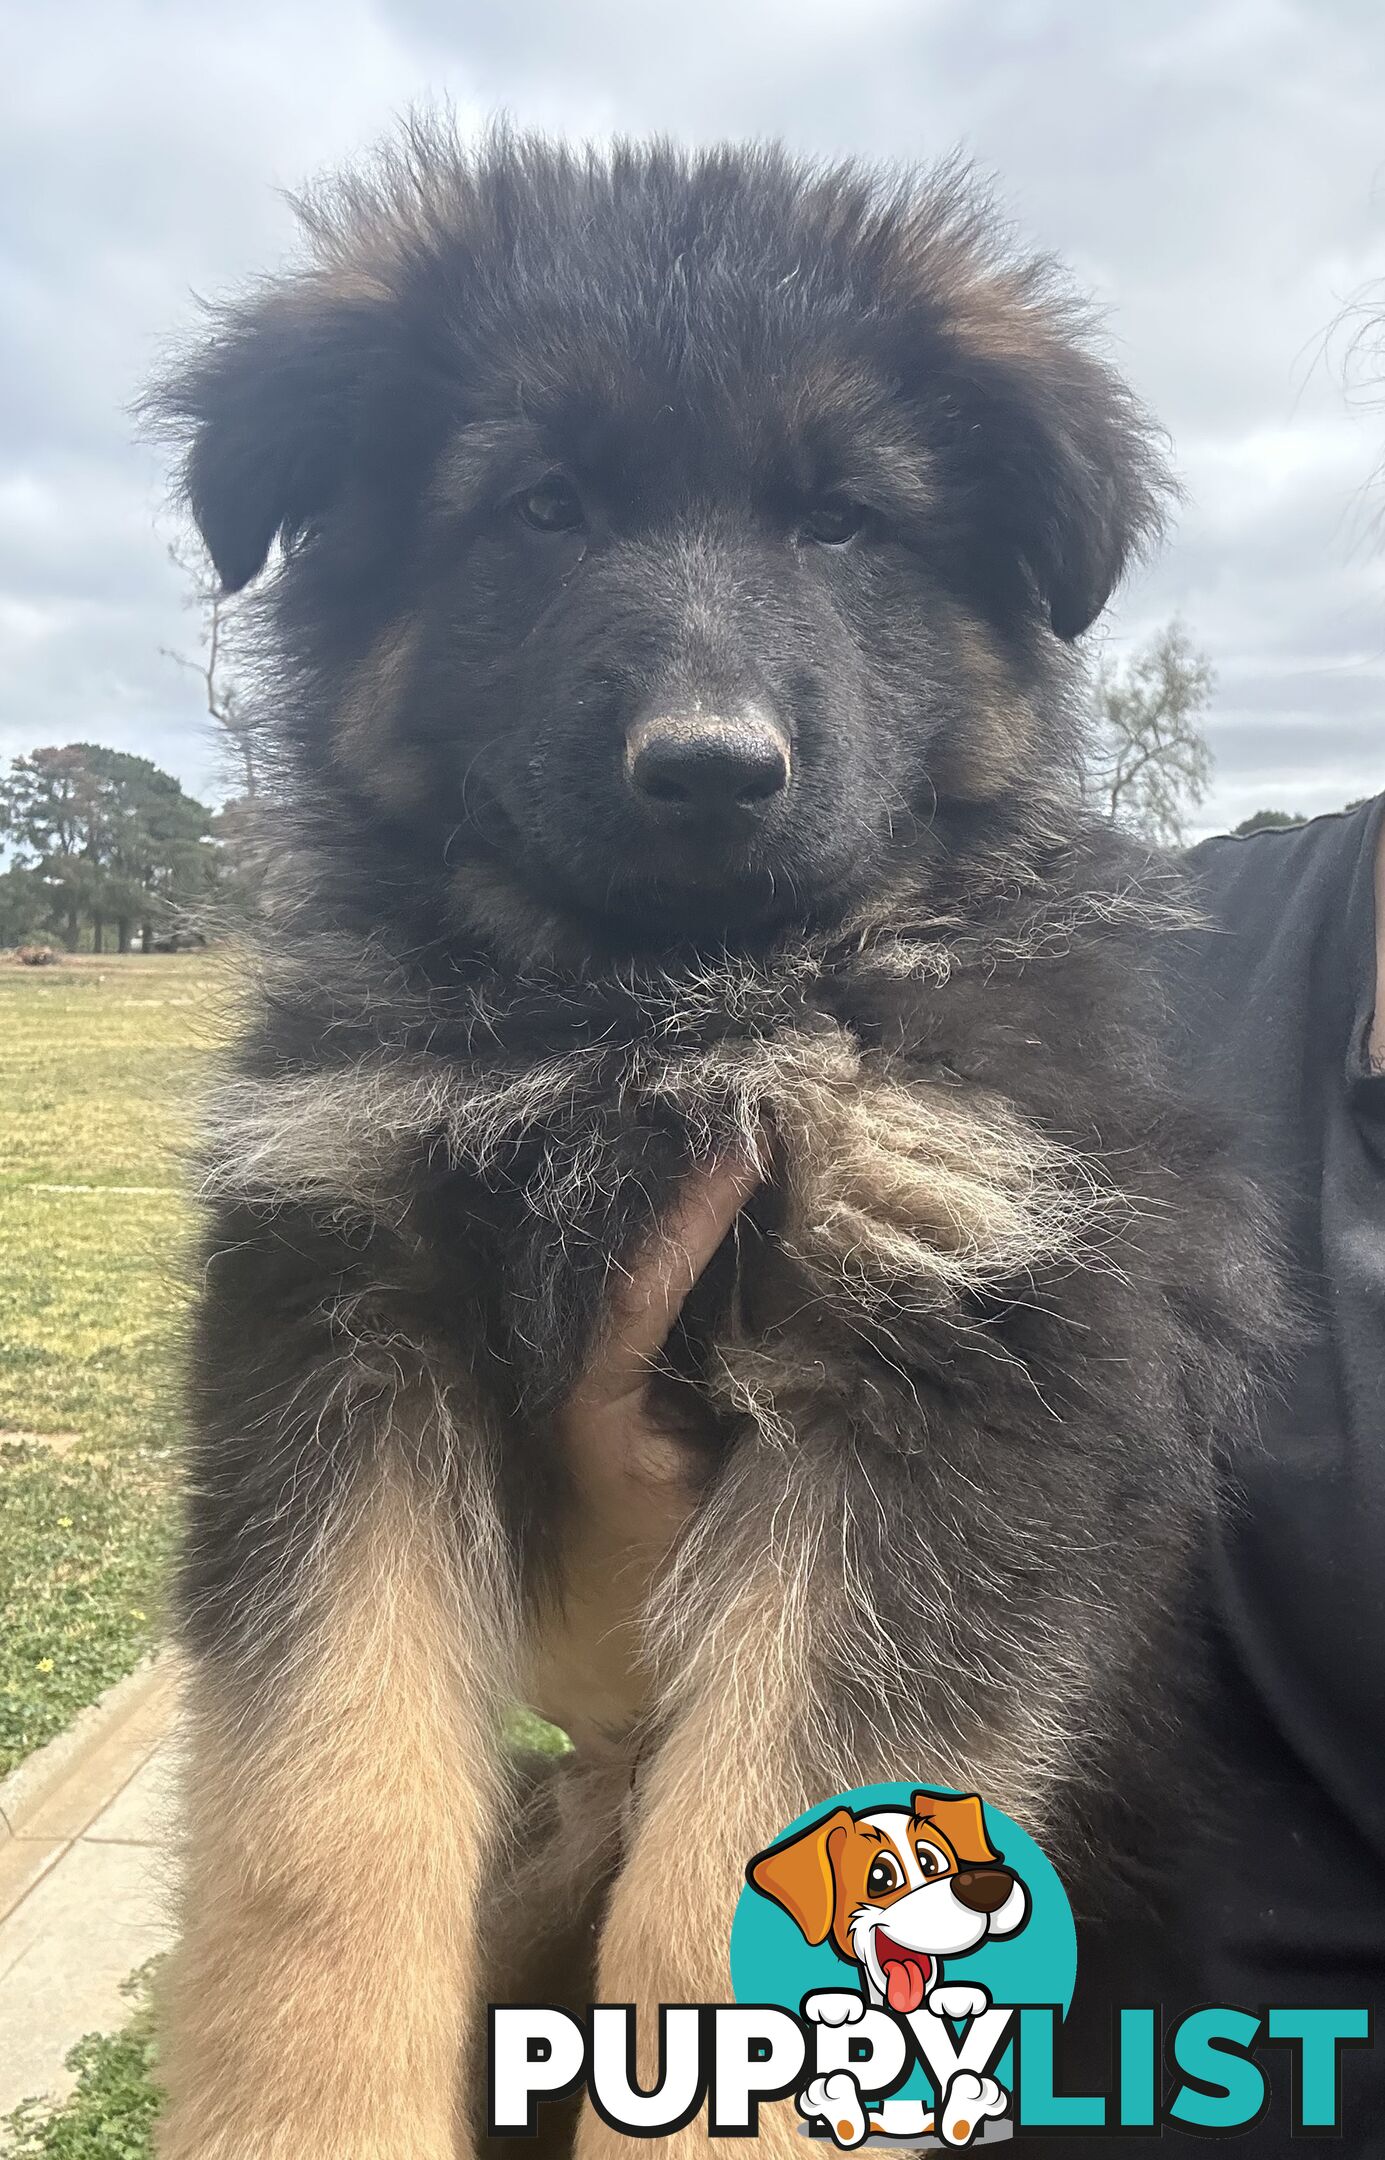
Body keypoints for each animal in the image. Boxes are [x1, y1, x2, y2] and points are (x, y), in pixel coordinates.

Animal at [149, 130, 1279, 2160]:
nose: (709, 770)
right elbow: (316, 1818)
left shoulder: (960, 1359)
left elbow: (733, 1893)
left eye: (840, 524)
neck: (654, 1014)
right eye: (541, 506)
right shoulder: (338, 1297)